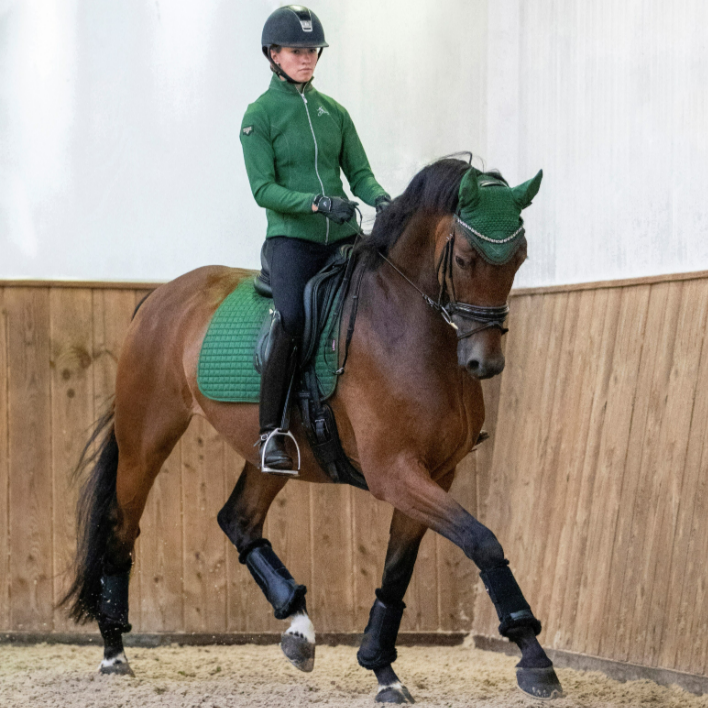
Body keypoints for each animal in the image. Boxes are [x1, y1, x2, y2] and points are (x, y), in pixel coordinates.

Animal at [60, 158, 564, 704]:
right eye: (468, 258)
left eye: (519, 257)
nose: (483, 363)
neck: (408, 327)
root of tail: (159, 296)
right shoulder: (395, 472)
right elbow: (482, 541)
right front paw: (534, 658)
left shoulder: (436, 473)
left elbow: (397, 573)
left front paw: (381, 667)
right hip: (145, 439)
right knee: (120, 528)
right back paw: (114, 650)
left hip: (271, 454)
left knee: (239, 520)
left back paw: (298, 627)